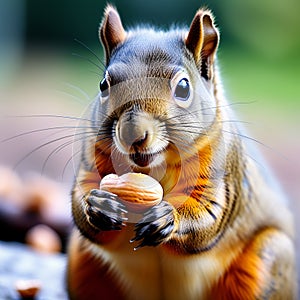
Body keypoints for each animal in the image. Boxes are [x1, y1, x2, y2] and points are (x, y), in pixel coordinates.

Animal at [67, 5, 296, 300]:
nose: (133, 134)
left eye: (184, 87)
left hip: (270, 257)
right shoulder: (91, 158)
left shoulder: (223, 171)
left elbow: (209, 214)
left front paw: (167, 218)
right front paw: (98, 205)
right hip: (81, 261)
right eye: (103, 85)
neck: (152, 169)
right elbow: (82, 198)